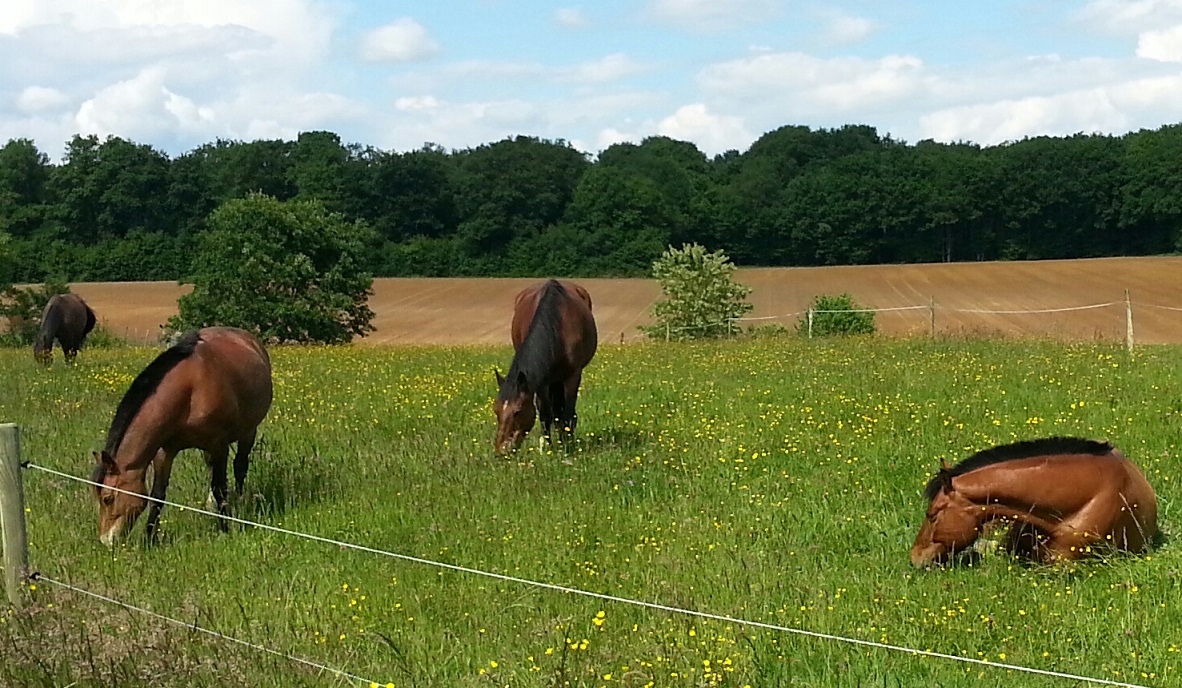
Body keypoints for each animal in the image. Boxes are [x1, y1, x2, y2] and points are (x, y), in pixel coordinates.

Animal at [91, 327, 273, 545]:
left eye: (107, 499)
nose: (106, 541)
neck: (190, 391)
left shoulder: (219, 444)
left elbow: (220, 487)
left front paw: (225, 528)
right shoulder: (164, 451)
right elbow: (158, 495)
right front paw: (150, 538)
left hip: (248, 431)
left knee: (240, 467)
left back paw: (239, 500)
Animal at [494, 279, 597, 455]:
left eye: (517, 411)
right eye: (496, 410)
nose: (501, 451)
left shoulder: (573, 376)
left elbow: (568, 414)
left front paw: (567, 447)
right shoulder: (541, 382)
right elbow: (545, 414)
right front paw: (549, 447)